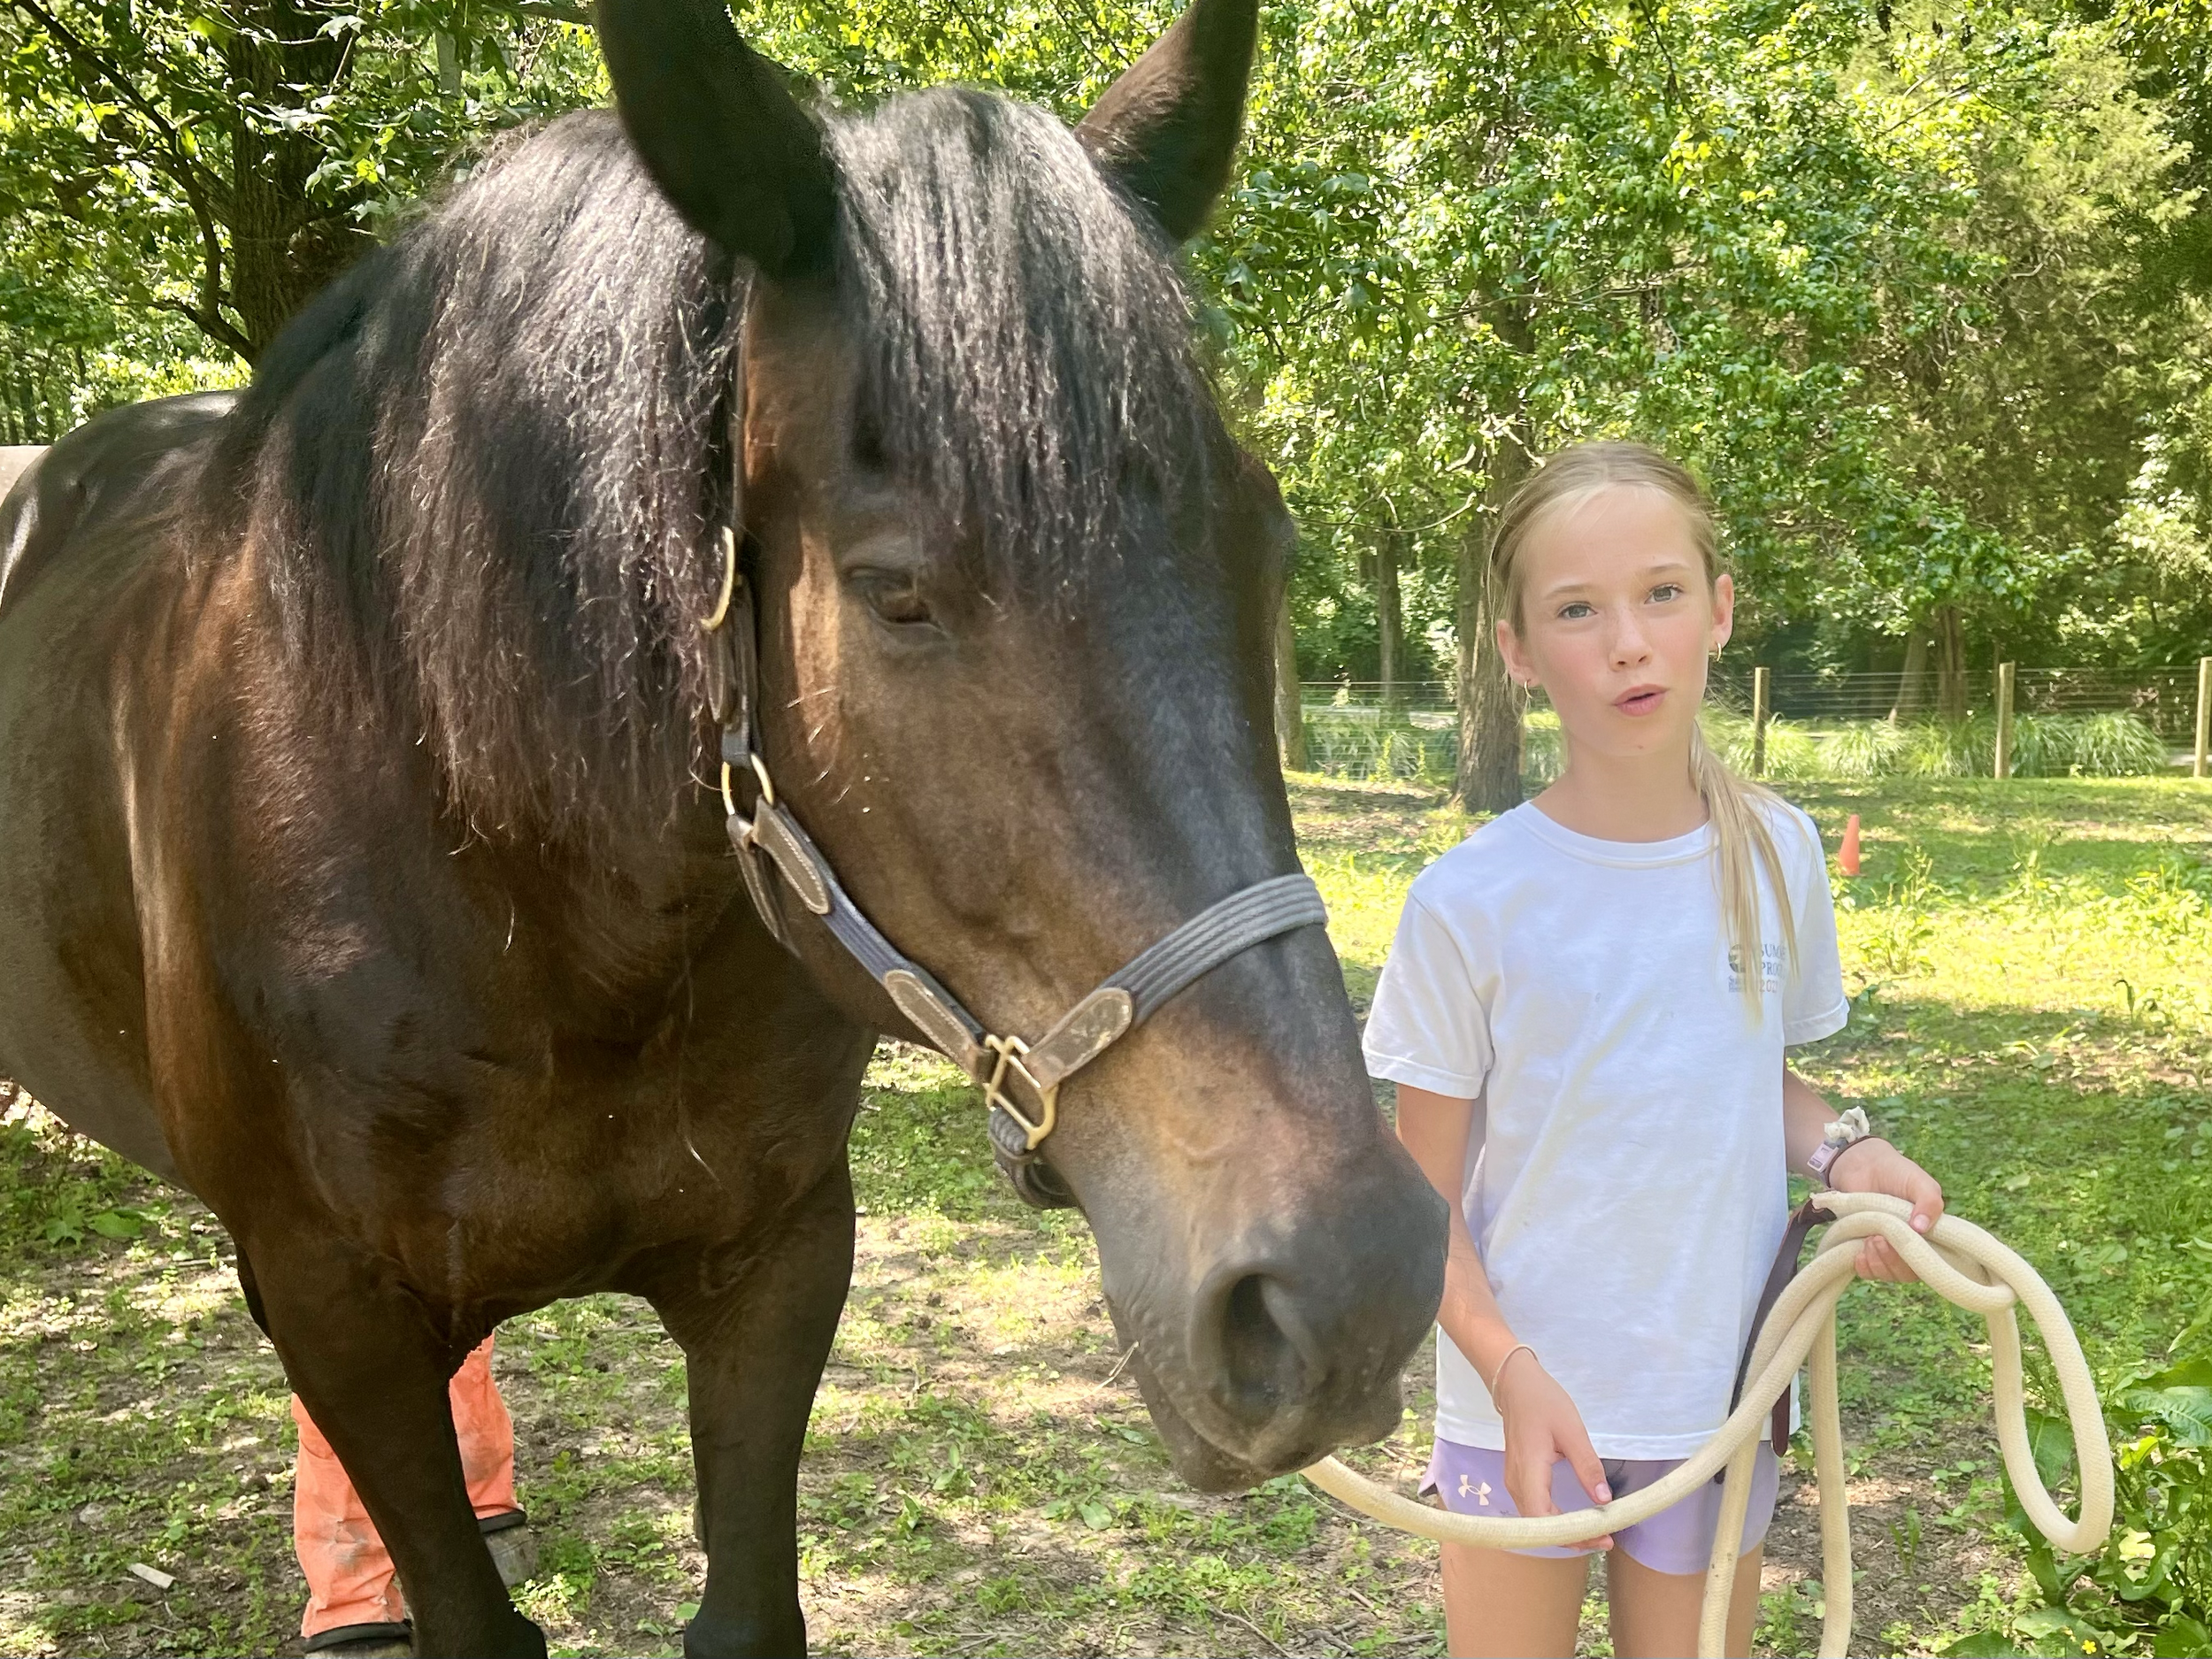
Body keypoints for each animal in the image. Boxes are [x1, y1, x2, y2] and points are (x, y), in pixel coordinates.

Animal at [0, 0, 1446, 1651]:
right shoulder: (335, 1304)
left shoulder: (782, 1258)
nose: (1347, 1287)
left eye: (1266, 538)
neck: (517, 899)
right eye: (895, 592)